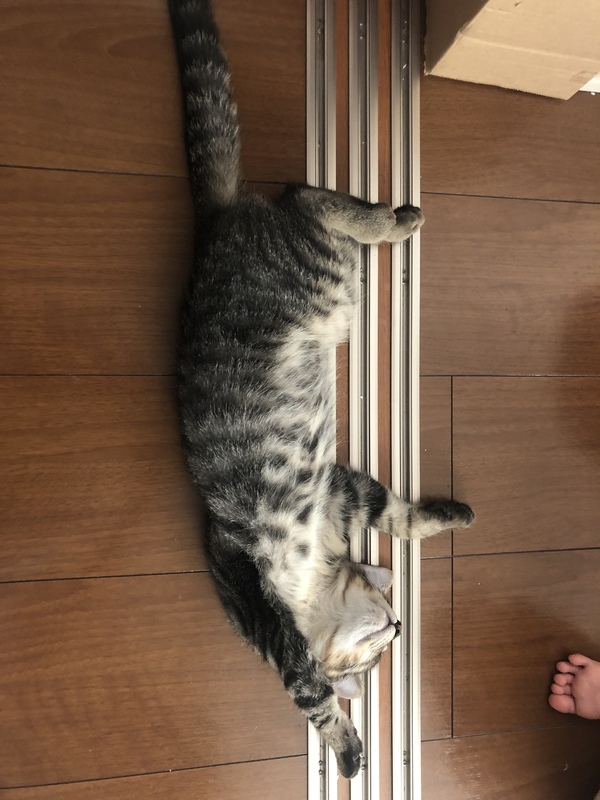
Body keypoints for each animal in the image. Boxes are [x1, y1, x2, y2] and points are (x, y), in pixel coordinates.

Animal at [168, 0, 474, 779]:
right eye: (383, 647)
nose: (399, 621)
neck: (318, 570)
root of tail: (217, 225)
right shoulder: (313, 536)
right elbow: (311, 694)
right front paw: (349, 746)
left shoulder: (338, 494)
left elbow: (400, 514)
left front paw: (445, 517)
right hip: (324, 279)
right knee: (303, 197)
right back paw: (395, 218)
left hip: (325, 277)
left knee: (305, 195)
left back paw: (395, 218)